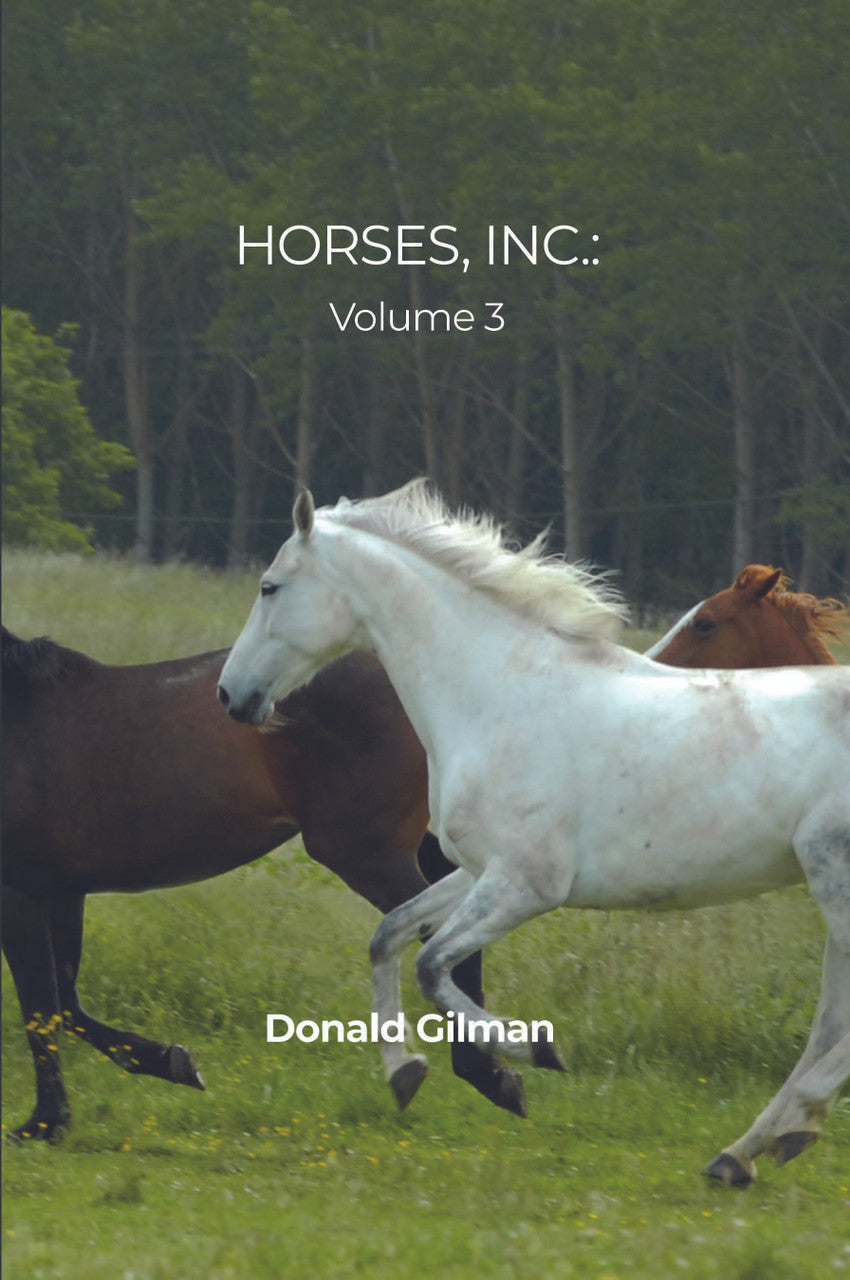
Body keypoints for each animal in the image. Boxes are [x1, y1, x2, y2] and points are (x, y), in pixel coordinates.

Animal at [1, 628, 525, 1144]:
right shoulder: (61, 891)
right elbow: (64, 1003)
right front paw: (173, 1062)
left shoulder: (22, 895)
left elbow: (40, 1009)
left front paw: (43, 1124)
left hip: (363, 851)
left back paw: (482, 1075)